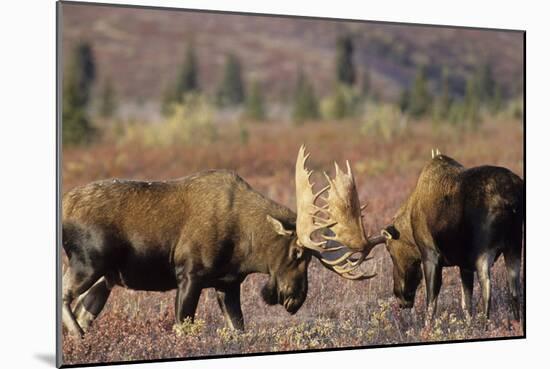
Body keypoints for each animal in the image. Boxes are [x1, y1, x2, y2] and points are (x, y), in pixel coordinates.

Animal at [61, 147, 388, 336]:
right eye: (297, 252)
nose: (294, 299)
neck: (245, 247)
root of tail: (63, 206)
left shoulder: (227, 284)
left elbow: (238, 329)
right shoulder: (189, 274)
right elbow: (183, 328)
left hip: (104, 279)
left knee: (82, 311)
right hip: (88, 263)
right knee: (65, 297)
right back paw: (77, 335)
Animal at [384, 150, 528, 322]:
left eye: (390, 251)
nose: (401, 297)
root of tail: (511, 201)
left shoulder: (430, 255)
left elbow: (431, 304)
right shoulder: (464, 265)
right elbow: (466, 304)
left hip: (484, 250)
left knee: (487, 288)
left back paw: (485, 324)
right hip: (514, 244)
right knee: (514, 290)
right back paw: (515, 323)